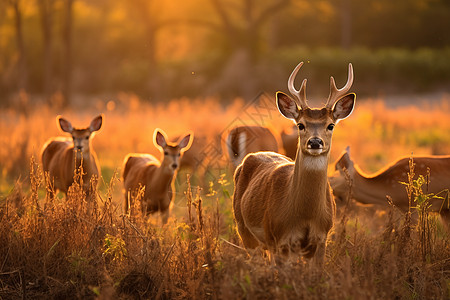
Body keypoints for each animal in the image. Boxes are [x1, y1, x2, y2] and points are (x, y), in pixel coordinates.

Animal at [232, 62, 356, 264]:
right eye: (300, 124)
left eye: (330, 125)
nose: (315, 142)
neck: (305, 215)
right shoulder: (278, 239)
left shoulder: (321, 239)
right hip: (244, 229)